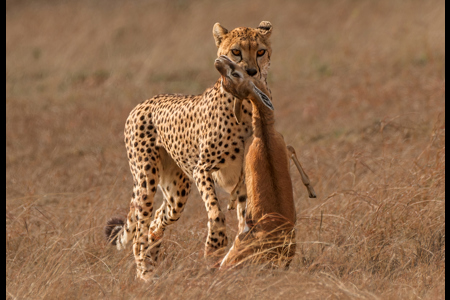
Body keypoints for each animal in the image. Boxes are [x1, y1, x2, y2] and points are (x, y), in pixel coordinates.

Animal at [105, 21, 274, 282]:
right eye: (236, 51)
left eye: (261, 51)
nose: (252, 72)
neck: (246, 102)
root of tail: (144, 102)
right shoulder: (202, 169)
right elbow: (215, 212)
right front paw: (215, 245)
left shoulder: (245, 179)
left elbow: (245, 220)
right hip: (147, 181)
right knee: (139, 231)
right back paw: (145, 274)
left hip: (177, 191)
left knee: (157, 220)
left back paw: (154, 258)